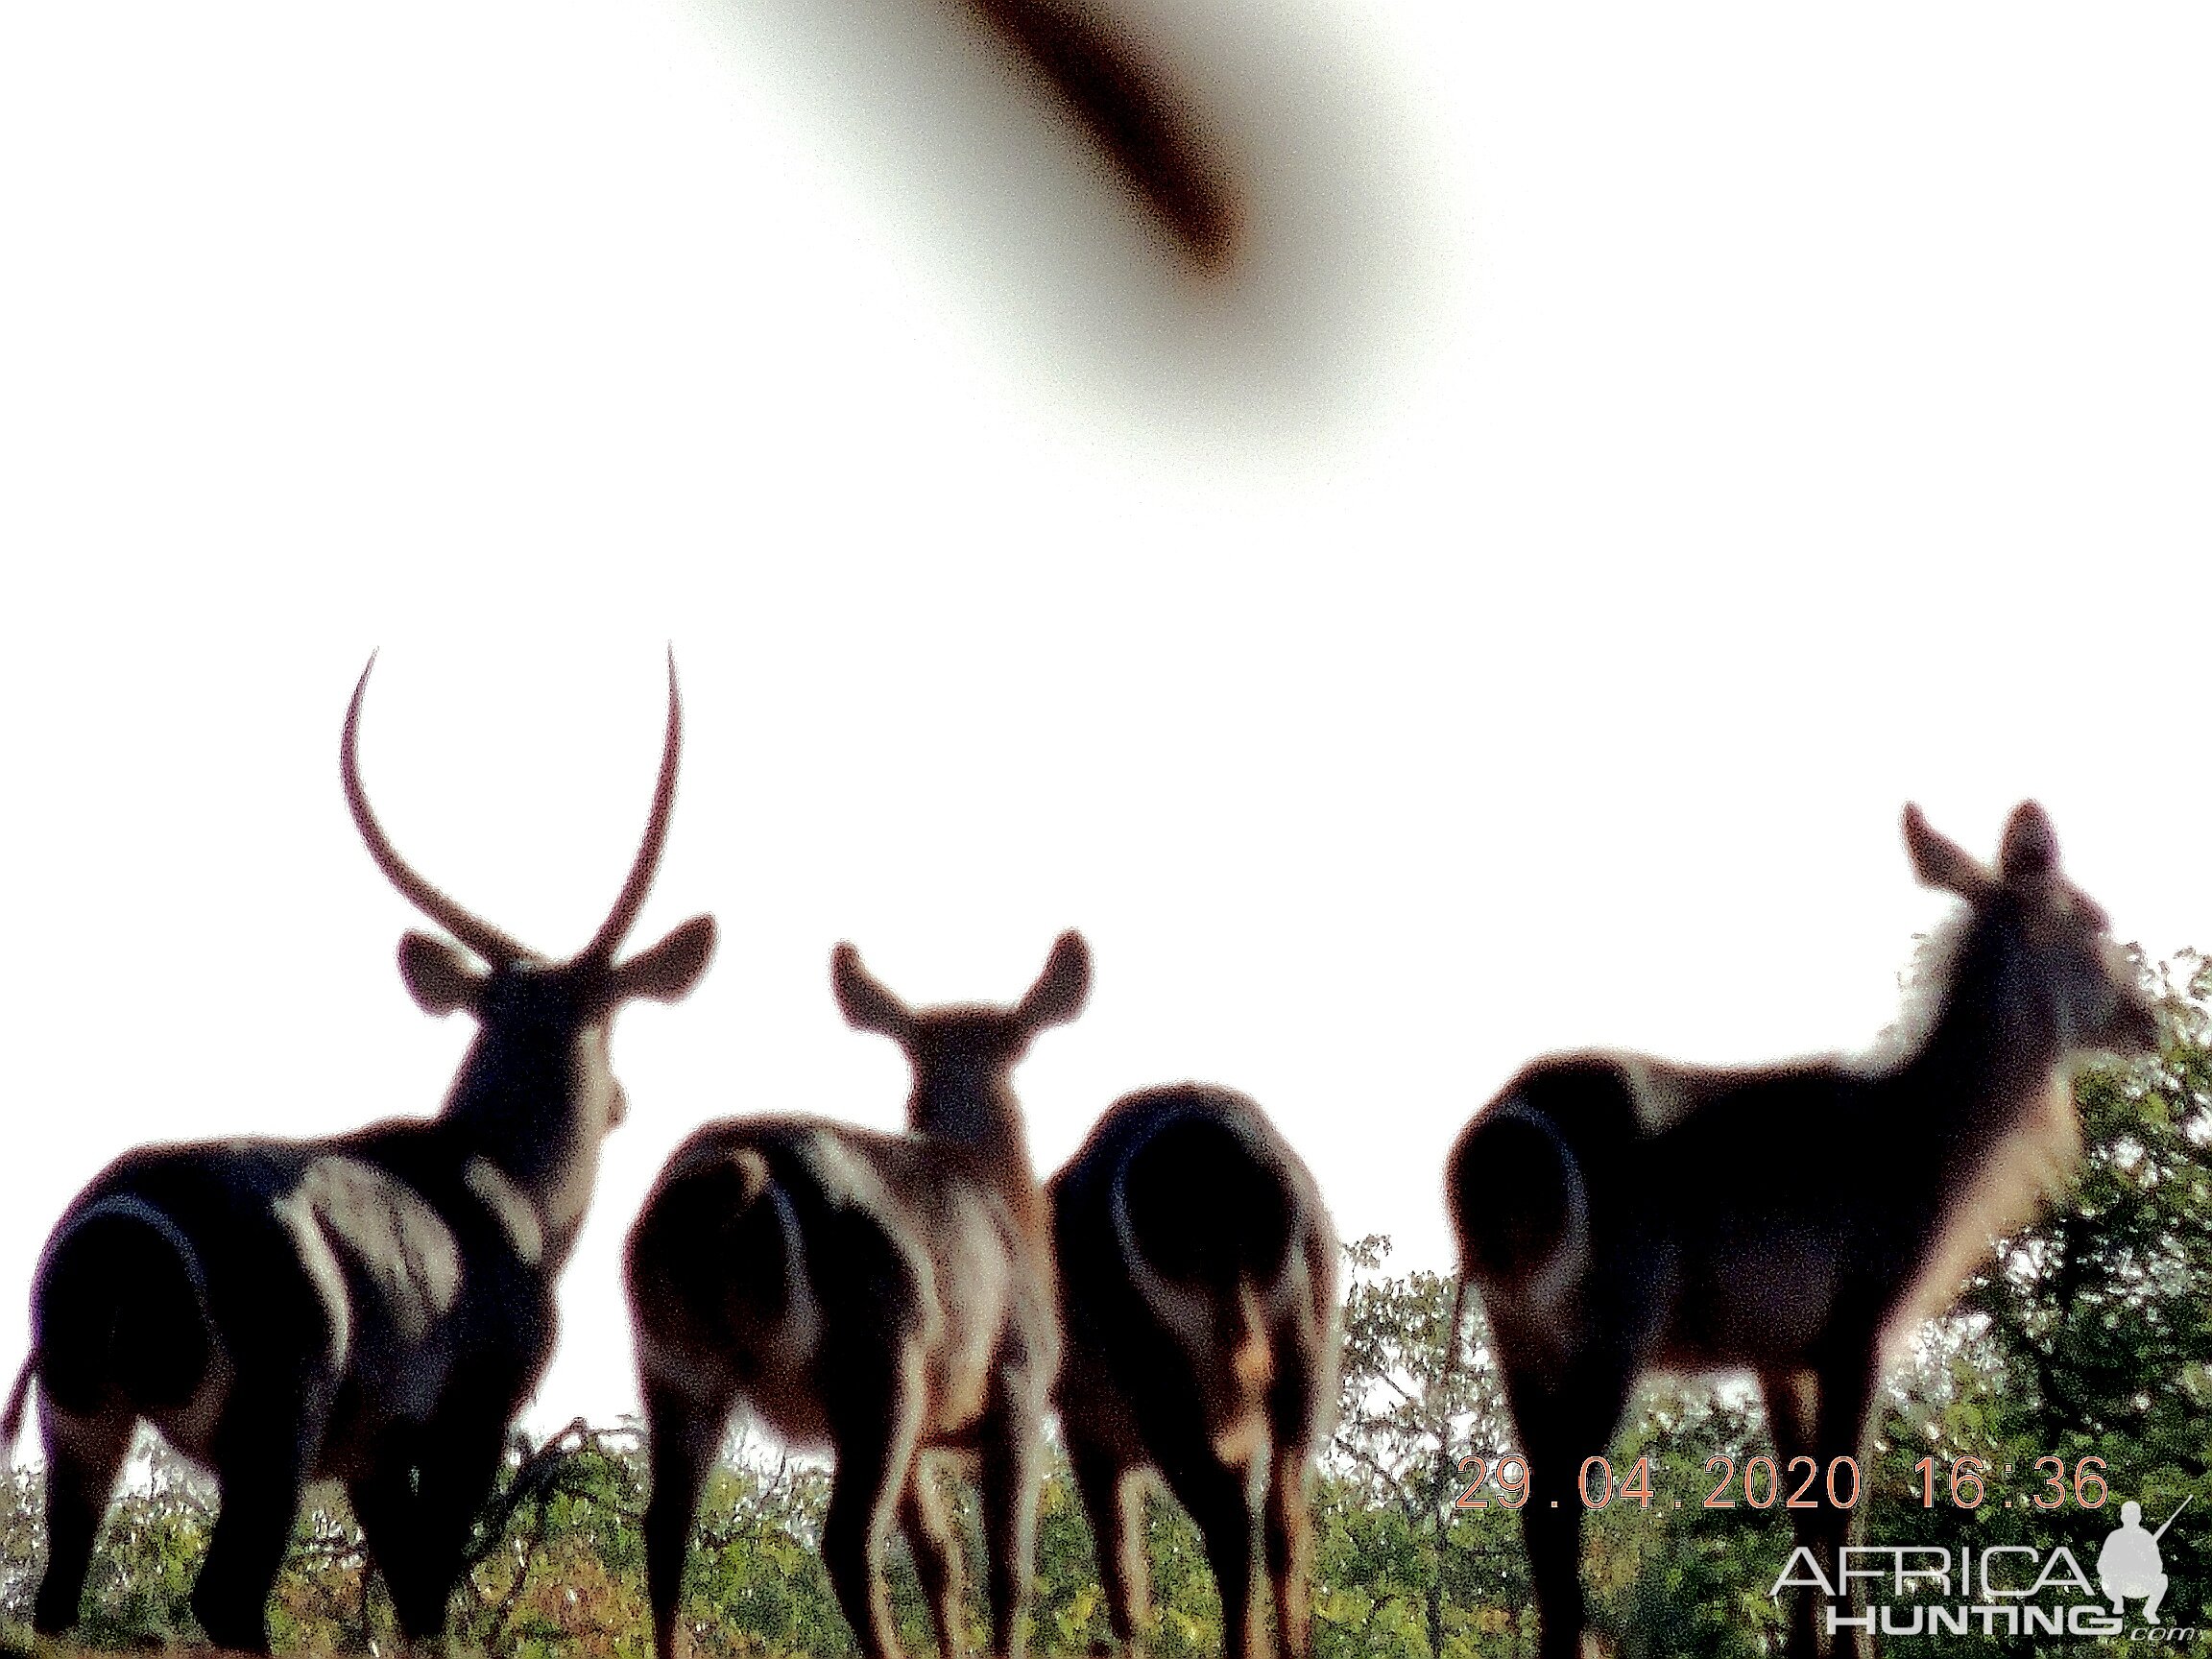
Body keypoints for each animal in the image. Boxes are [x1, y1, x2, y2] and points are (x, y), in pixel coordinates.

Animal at [0, 654, 716, 1654]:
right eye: (608, 1023)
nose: (621, 1101)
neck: (512, 1185)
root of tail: (124, 1223)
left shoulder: (371, 1456)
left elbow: (412, 1588)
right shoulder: (471, 1419)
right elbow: (431, 1599)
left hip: (82, 1415)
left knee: (59, 1598)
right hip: (273, 1431)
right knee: (225, 1595)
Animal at [623, 937, 1088, 1659]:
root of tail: (738, 1176)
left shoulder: (926, 1435)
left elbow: (940, 1559)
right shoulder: (1020, 1379)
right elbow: (1009, 1570)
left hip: (673, 1359)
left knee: (665, 1528)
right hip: (879, 1359)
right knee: (847, 1542)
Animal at [1048, 1083, 1335, 1659]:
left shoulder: (1088, 1437)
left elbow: (1122, 1575)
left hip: (1169, 1398)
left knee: (1231, 1530)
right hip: (1301, 1366)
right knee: (1284, 1522)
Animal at [1451, 805, 2158, 1659]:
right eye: (2091, 919)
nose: (2150, 1022)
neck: (1928, 1138)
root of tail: (1496, 1142)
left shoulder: (1776, 1350)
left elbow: (1797, 1507)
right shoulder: (1860, 1324)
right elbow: (1841, 1509)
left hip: (1514, 1338)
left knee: (1537, 1515)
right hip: (1608, 1328)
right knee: (1555, 1510)